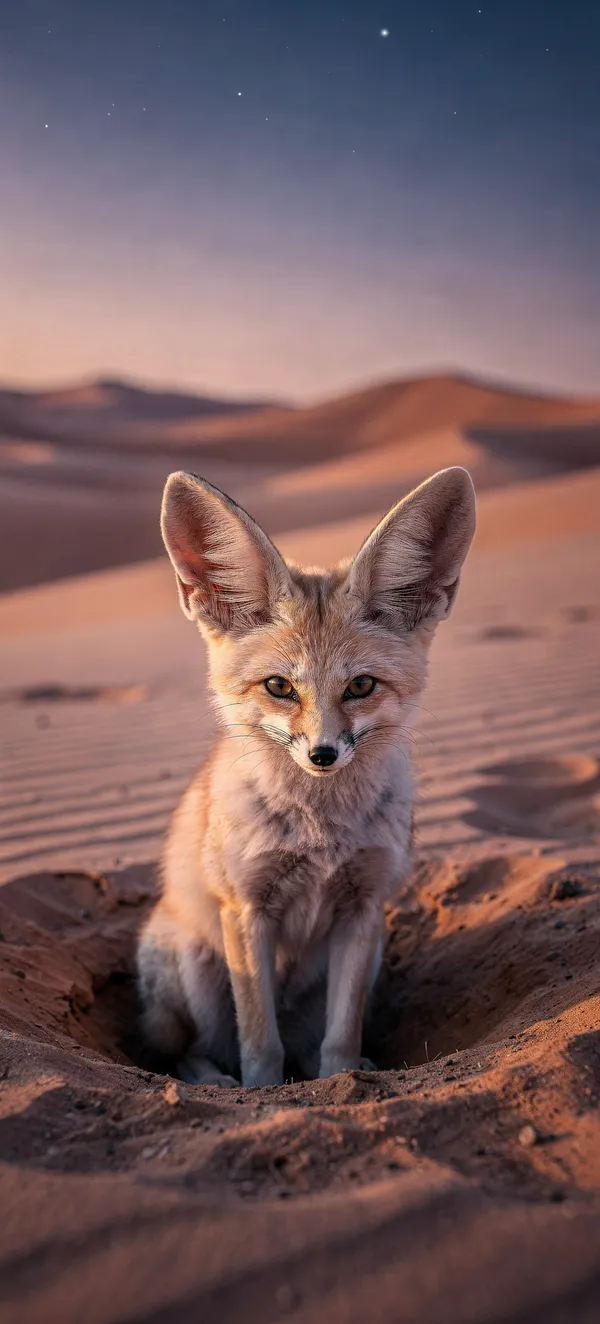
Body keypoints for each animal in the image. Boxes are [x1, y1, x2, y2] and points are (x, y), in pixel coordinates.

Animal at [137, 466, 476, 1088]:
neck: (322, 834)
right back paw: (213, 1082)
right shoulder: (247, 910)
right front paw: (264, 1095)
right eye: (279, 687)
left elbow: (340, 1037)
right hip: (197, 968)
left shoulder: (364, 909)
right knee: (190, 1050)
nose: (323, 754)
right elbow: (259, 1043)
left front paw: (342, 1082)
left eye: (360, 686)